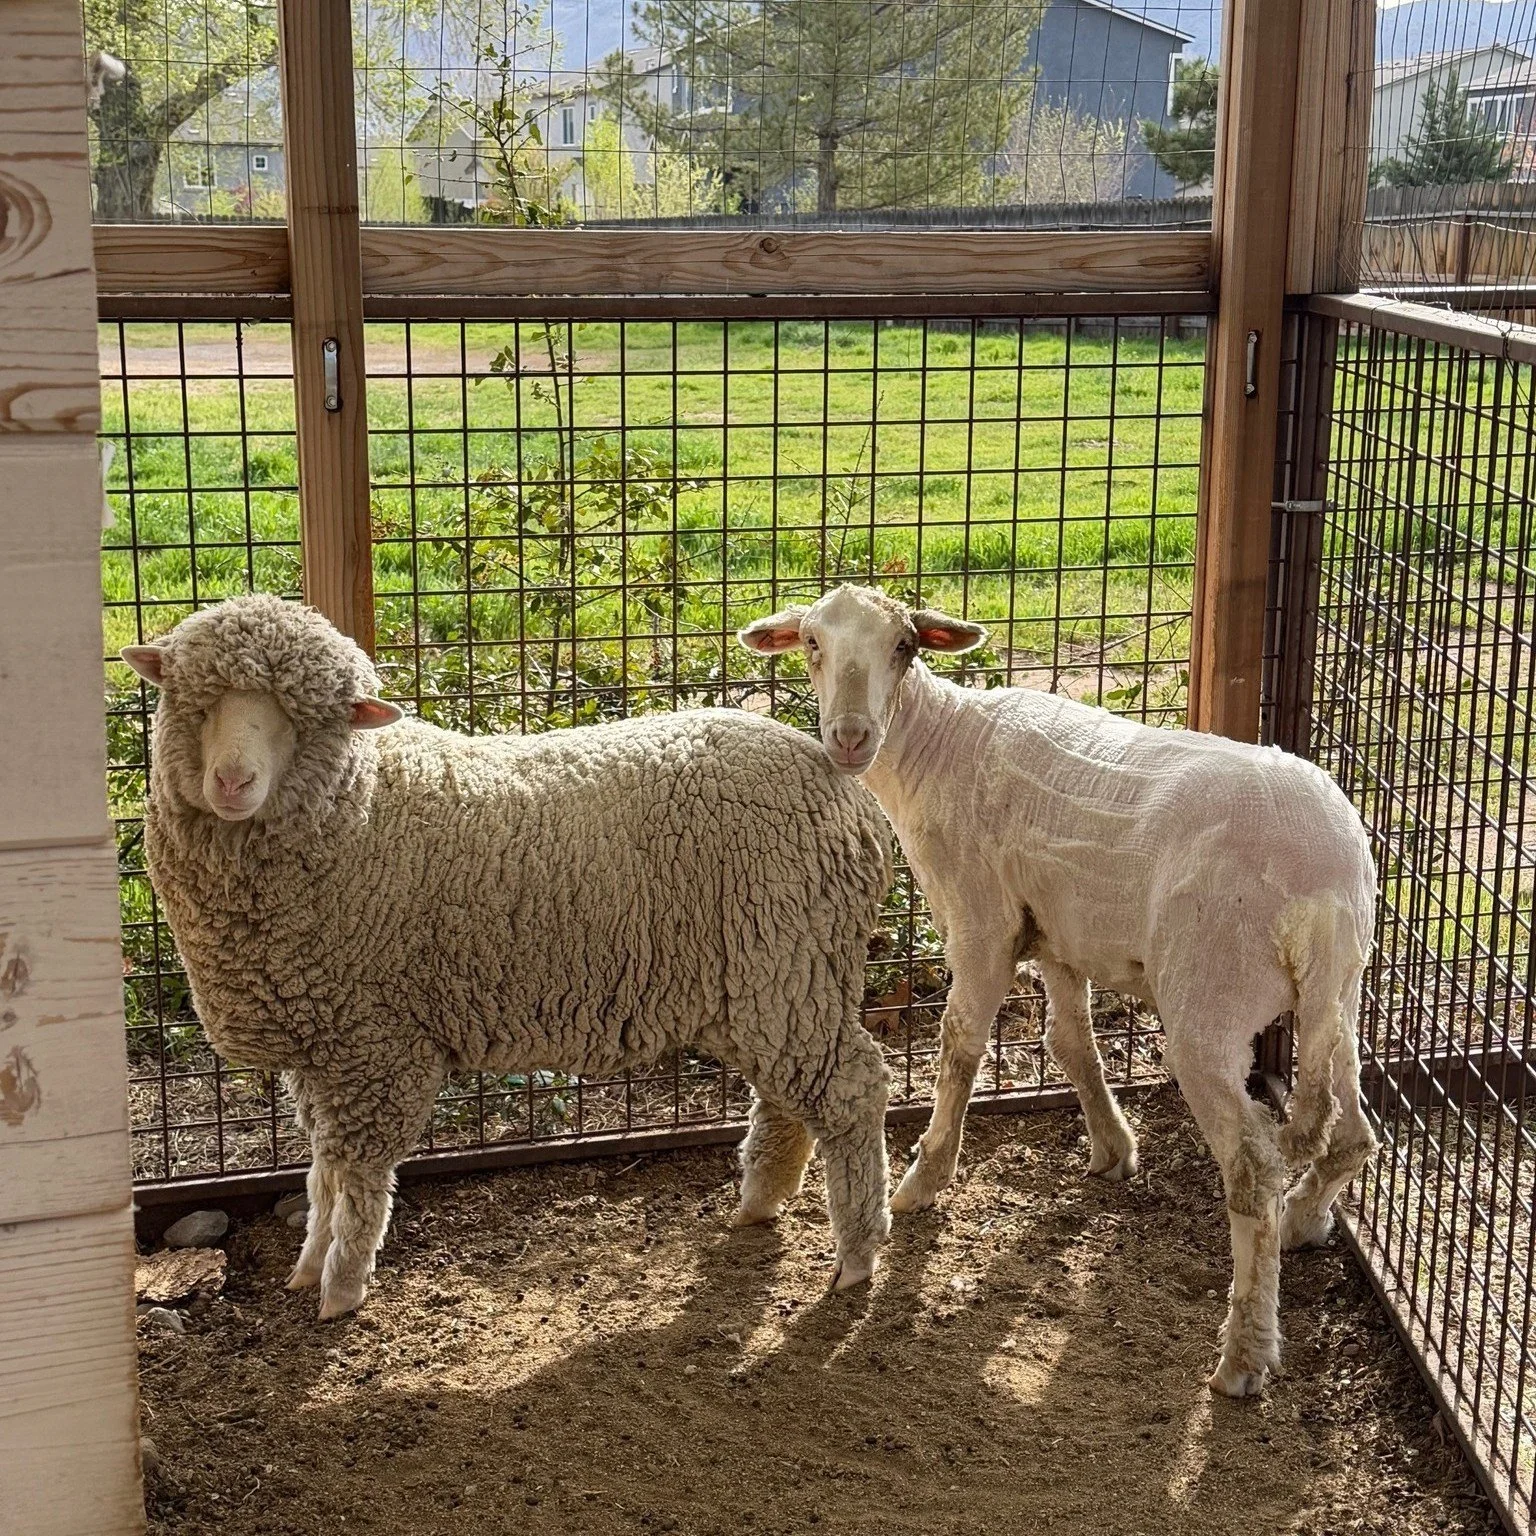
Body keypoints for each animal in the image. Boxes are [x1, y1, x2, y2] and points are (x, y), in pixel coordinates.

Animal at [122, 595, 894, 1319]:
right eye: (199, 703)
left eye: (300, 719)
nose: (232, 782)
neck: (361, 801)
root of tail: (846, 794)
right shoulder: (322, 1041)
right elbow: (322, 1168)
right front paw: (310, 1263)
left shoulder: (377, 1045)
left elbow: (360, 1173)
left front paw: (341, 1286)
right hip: (775, 980)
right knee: (790, 1097)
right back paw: (761, 1201)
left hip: (789, 962)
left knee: (853, 1090)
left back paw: (858, 1252)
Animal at [739, 584, 1379, 1396]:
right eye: (813, 645)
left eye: (904, 648)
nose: (850, 737)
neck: (935, 750)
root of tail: (1324, 885)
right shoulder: (1055, 930)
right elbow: (1070, 1042)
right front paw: (1112, 1149)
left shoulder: (981, 919)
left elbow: (959, 1044)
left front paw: (924, 1176)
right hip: (1340, 996)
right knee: (1353, 1132)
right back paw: (1302, 1221)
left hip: (1210, 998)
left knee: (1252, 1166)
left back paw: (1243, 1353)